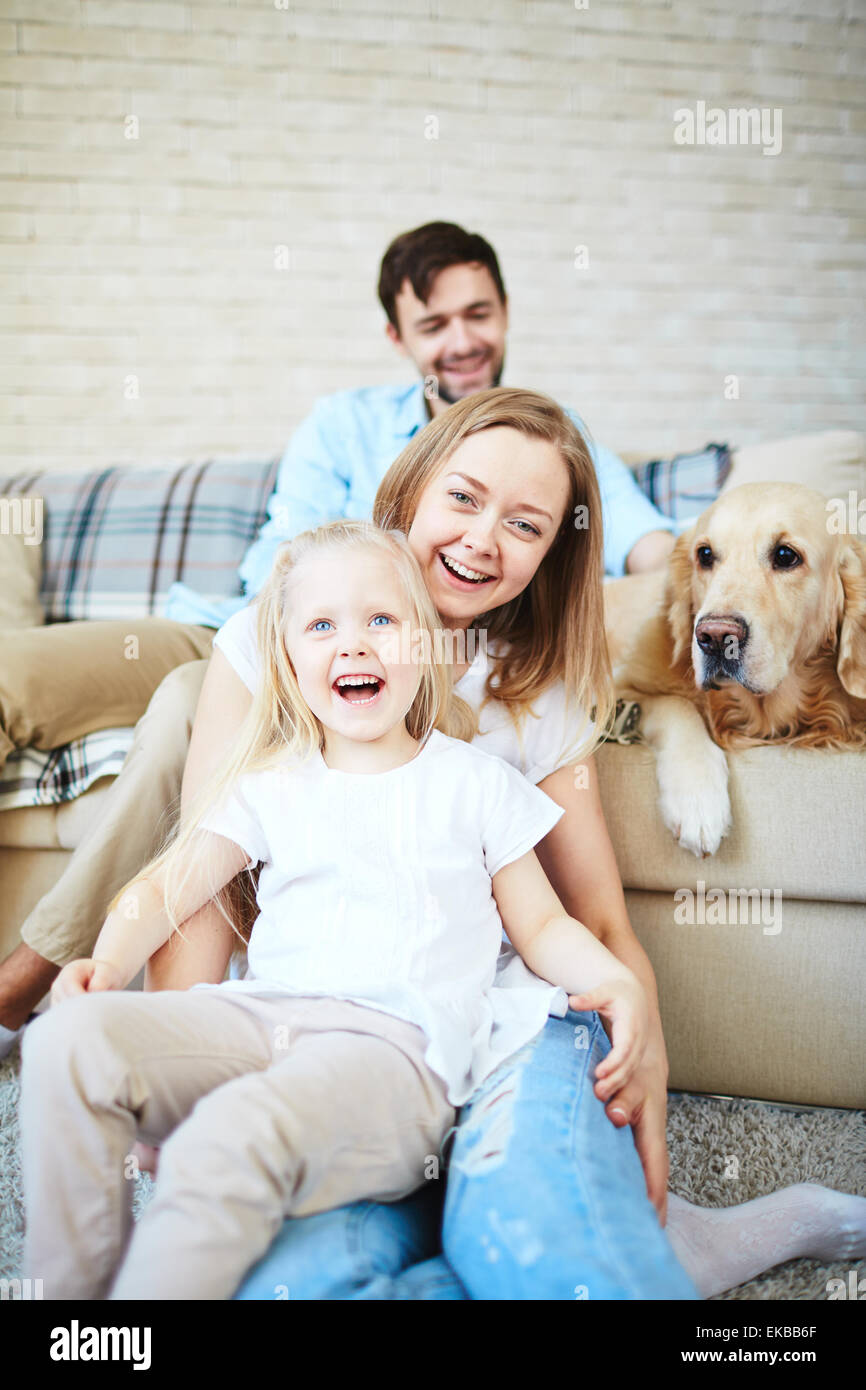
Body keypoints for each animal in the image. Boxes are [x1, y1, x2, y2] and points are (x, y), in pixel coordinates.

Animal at [603, 489, 866, 856]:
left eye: (786, 555)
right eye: (705, 555)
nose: (714, 638)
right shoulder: (617, 687)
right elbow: (677, 705)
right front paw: (697, 799)